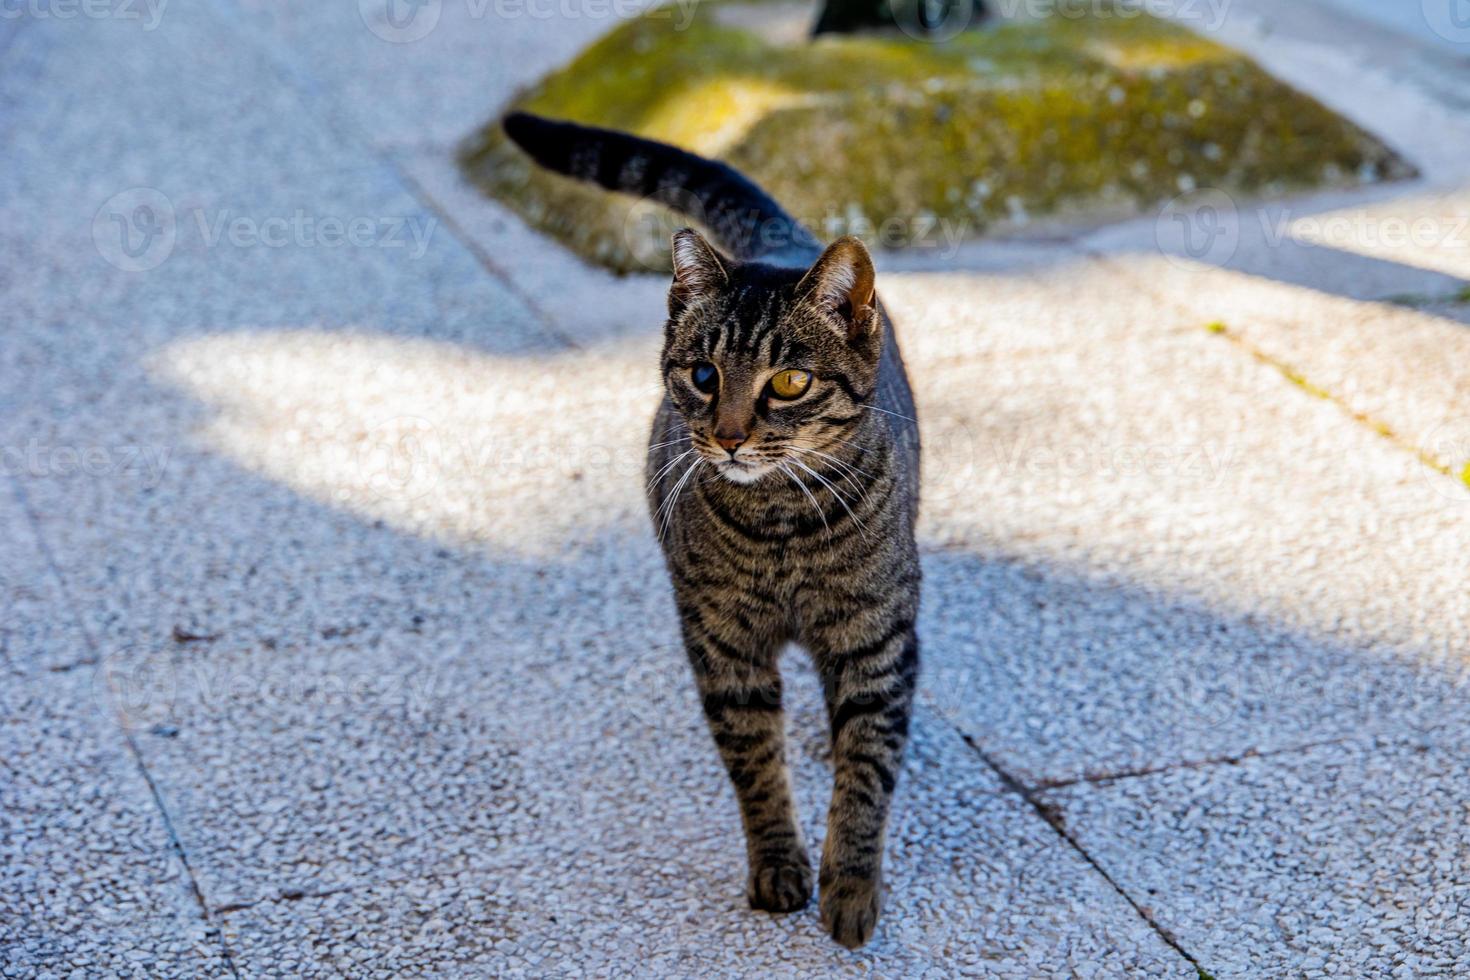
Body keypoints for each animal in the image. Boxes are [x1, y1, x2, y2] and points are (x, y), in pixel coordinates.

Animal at [505, 113, 917, 952]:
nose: (727, 437)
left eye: (788, 383)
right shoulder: (723, 647)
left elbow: (866, 771)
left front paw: (851, 887)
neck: (783, 526)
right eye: (702, 375)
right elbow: (755, 767)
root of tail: (783, 240)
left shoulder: (877, 636)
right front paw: (780, 868)